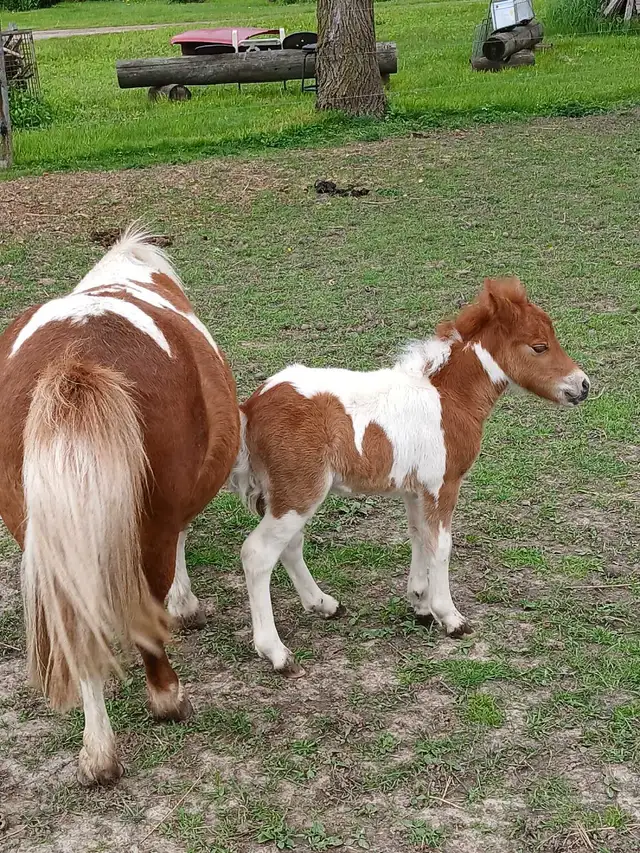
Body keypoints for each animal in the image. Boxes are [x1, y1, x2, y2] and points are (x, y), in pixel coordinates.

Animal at [0, 228, 239, 785]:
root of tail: (75, 359)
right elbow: (182, 545)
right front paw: (186, 605)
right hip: (148, 530)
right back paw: (167, 699)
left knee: (77, 631)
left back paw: (98, 752)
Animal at [230, 277, 590, 676]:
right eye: (539, 346)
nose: (583, 385)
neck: (449, 397)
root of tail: (251, 408)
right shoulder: (444, 484)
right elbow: (442, 545)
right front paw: (451, 617)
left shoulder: (417, 489)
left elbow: (419, 536)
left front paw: (420, 603)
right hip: (300, 492)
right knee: (258, 553)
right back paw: (276, 652)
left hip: (288, 494)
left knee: (290, 545)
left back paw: (324, 604)